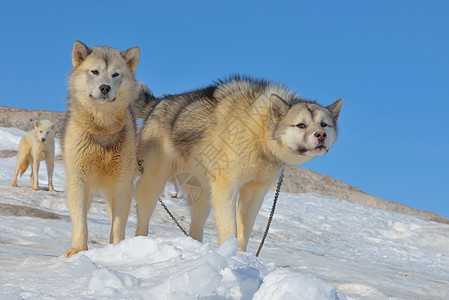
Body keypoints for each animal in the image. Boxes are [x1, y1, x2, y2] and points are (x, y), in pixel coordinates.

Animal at [61, 40, 138, 258]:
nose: (105, 87)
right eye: (94, 71)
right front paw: (78, 250)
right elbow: (80, 222)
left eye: (115, 74)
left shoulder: (121, 185)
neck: (102, 129)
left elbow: (118, 224)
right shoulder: (78, 181)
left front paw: (119, 249)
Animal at [135, 75, 342, 251]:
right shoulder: (227, 187)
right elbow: (230, 230)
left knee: (195, 229)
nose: (320, 135)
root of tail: (157, 104)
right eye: (301, 125)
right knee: (142, 221)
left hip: (202, 198)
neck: (259, 133)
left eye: (324, 125)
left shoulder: (254, 193)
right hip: (153, 184)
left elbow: (243, 233)